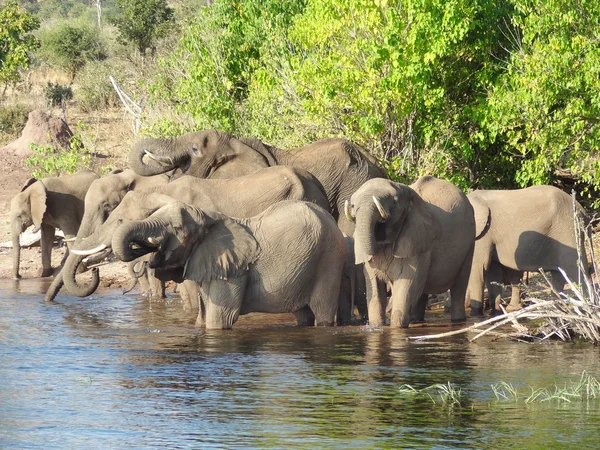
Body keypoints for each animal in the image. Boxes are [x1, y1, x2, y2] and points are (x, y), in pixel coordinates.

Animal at [108, 200, 346, 330]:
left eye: (176, 228)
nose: (142, 250)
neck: (210, 218)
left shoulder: (234, 272)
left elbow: (219, 319)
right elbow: (203, 318)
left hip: (329, 259)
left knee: (323, 312)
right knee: (303, 314)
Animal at [344, 175, 476, 326]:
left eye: (394, 202)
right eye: (353, 206)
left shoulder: (419, 240)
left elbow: (407, 286)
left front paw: (396, 327)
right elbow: (375, 289)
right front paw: (376, 326)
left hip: (469, 242)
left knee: (459, 285)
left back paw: (458, 320)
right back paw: (416, 320)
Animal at [466, 185, 588, 314]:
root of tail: (582, 210)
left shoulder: (482, 234)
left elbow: (478, 267)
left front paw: (476, 315)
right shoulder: (488, 235)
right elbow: (492, 270)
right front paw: (496, 313)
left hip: (569, 230)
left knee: (577, 269)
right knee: (558, 274)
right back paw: (554, 309)